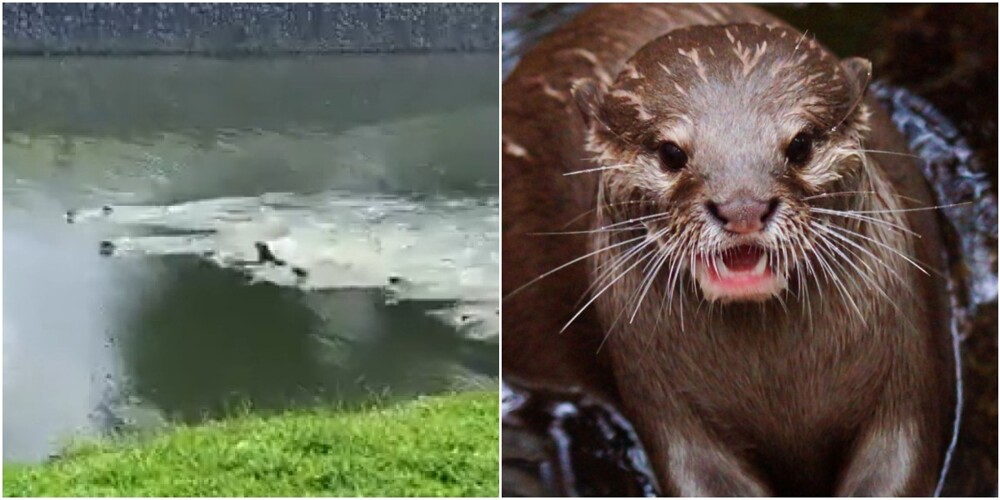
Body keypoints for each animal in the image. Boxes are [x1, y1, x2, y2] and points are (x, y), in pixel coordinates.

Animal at [504, 3, 956, 496]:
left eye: (801, 144)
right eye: (670, 153)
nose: (743, 207)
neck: (777, 386)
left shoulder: (903, 384)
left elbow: (898, 460)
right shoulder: (670, 411)